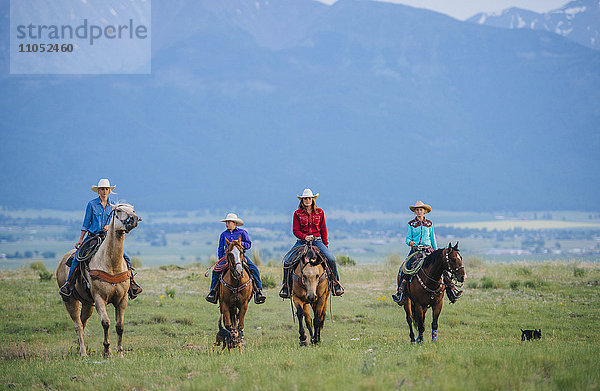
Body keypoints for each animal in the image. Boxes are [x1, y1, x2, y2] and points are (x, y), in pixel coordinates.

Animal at [55, 205, 141, 358]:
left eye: (133, 210)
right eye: (118, 211)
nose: (134, 219)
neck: (112, 264)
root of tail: (61, 262)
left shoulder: (122, 299)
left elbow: (120, 326)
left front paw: (120, 353)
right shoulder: (100, 298)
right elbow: (106, 322)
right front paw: (106, 351)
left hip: (87, 304)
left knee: (83, 322)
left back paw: (78, 349)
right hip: (69, 300)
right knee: (78, 325)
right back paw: (83, 353)